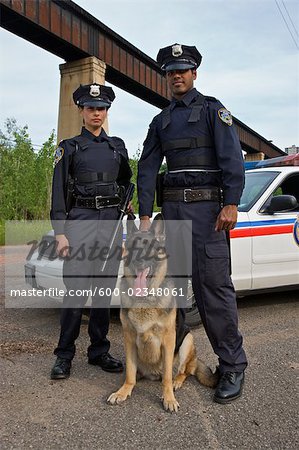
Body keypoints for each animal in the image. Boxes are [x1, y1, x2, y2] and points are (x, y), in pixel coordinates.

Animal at [108, 214, 218, 412]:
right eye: (132, 246)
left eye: (148, 246)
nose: (137, 260)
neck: (145, 299)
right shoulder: (129, 338)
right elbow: (129, 373)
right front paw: (123, 391)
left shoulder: (168, 340)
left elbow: (167, 376)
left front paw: (168, 398)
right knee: (136, 373)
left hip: (187, 341)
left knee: (183, 372)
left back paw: (177, 382)